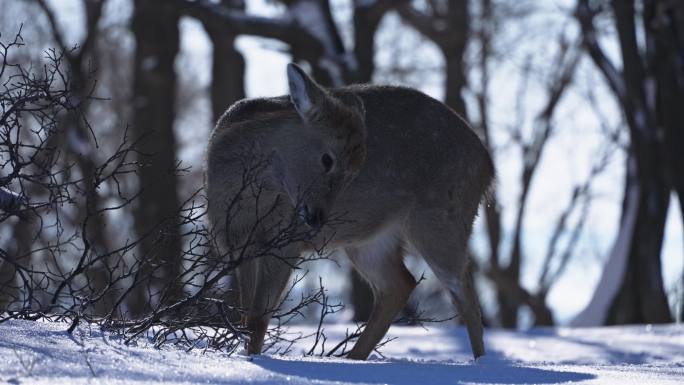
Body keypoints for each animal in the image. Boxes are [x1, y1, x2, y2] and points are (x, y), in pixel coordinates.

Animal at [206, 63, 494, 360]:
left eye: (354, 173)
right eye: (327, 159)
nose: (317, 217)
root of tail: (487, 167)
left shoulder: (284, 243)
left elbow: (258, 317)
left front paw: (252, 357)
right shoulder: (235, 243)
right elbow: (245, 313)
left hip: (441, 216)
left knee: (464, 290)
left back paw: (480, 362)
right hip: (369, 238)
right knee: (399, 284)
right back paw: (353, 357)